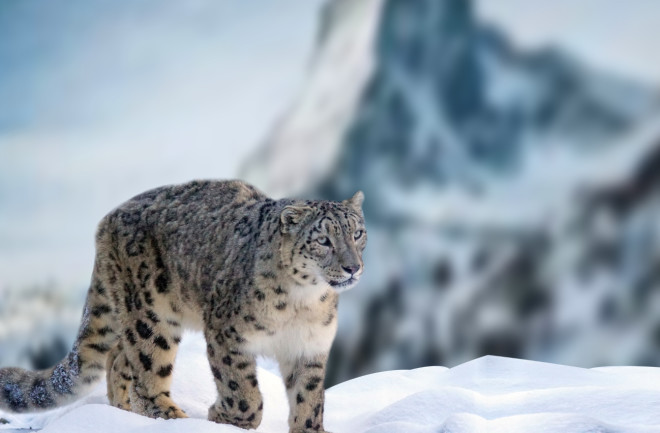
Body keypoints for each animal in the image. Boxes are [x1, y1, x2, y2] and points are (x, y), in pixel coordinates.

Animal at [0, 179, 366, 432]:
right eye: (323, 240)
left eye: (358, 233)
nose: (353, 267)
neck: (302, 303)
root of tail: (107, 222)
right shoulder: (227, 334)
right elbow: (242, 389)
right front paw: (226, 417)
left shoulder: (309, 346)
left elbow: (310, 397)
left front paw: (310, 428)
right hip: (152, 316)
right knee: (146, 372)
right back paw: (173, 419)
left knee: (118, 358)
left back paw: (122, 412)